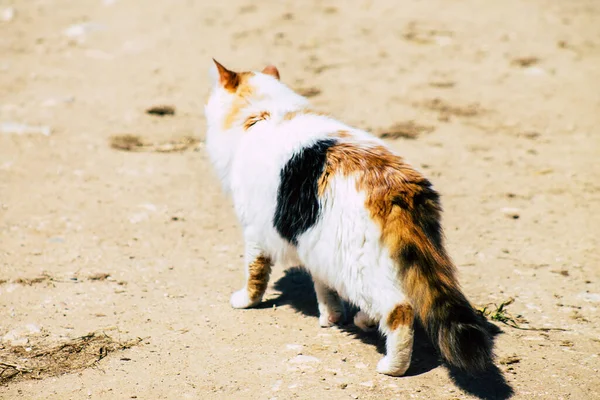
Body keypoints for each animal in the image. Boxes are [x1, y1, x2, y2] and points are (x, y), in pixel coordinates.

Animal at [204, 58, 494, 376]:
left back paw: (392, 365)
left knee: (400, 310)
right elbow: (323, 287)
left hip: (357, 263)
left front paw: (246, 300)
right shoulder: (313, 243)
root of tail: (398, 186)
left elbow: (255, 272)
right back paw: (364, 321)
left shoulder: (256, 230)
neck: (262, 113)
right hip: (371, 256)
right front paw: (331, 316)